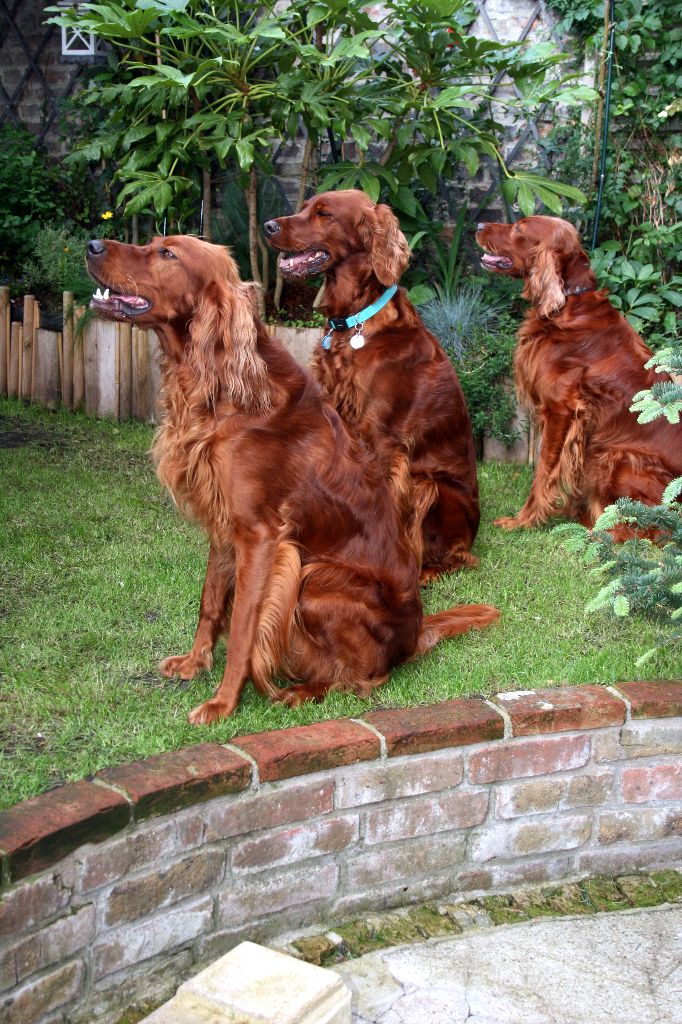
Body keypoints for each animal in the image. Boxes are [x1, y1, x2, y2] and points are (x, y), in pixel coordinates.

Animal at [262, 188, 481, 581]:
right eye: (305, 206)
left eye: (324, 213)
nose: (268, 226)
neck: (353, 323)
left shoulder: (383, 443)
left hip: (431, 486)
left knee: (455, 557)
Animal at [473, 217, 679, 532]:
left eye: (519, 228)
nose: (479, 224)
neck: (567, 304)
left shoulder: (562, 410)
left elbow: (544, 472)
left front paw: (523, 521)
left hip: (617, 456)